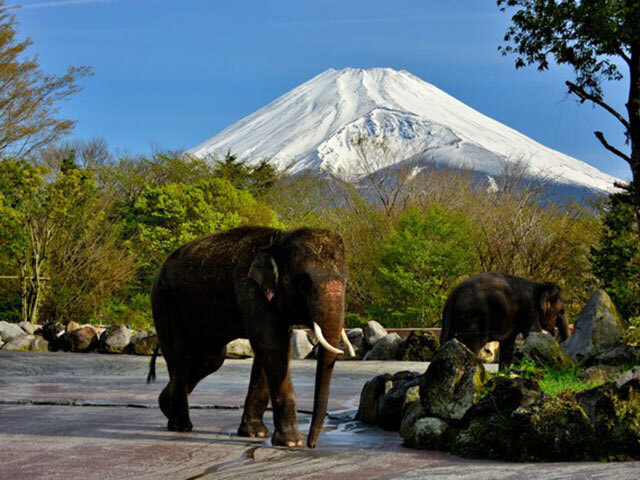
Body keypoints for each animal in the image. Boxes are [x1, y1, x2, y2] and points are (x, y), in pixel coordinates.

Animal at [146, 227, 356, 448]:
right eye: (304, 283)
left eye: (346, 283)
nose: (312, 444)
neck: (277, 240)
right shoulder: (250, 289)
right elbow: (272, 347)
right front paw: (291, 443)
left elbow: (272, 350)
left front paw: (255, 434)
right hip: (164, 302)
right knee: (179, 356)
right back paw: (181, 426)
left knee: (210, 359)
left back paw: (166, 406)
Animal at [440, 272, 568, 370]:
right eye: (561, 311)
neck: (538, 286)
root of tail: (451, 298)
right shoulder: (529, 310)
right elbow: (533, 333)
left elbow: (508, 344)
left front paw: (504, 373)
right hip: (472, 319)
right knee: (469, 346)